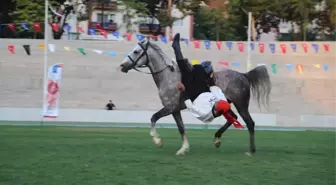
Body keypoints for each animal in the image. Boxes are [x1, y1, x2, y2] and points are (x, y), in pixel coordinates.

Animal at [118, 38, 270, 156]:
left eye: (136, 51)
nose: (122, 65)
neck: (168, 77)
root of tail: (244, 75)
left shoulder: (170, 107)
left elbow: (154, 118)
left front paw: (158, 141)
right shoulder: (175, 110)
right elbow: (181, 128)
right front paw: (183, 149)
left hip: (241, 105)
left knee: (249, 123)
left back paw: (251, 150)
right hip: (228, 104)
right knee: (233, 118)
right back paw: (217, 138)